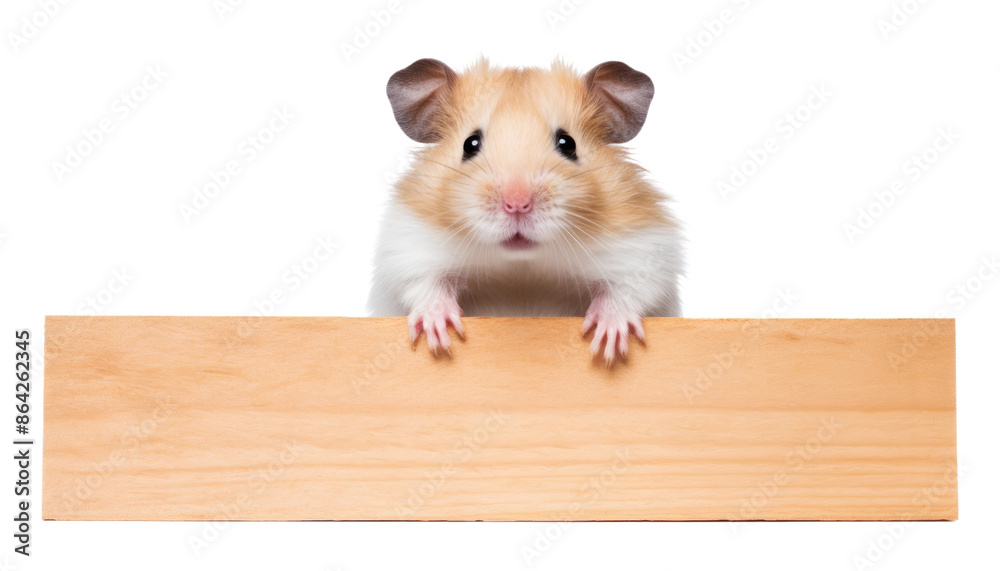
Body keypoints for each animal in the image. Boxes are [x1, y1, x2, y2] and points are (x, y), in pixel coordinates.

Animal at [368, 58, 683, 365]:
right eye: (470, 144)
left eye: (568, 143)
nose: (517, 204)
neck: (521, 266)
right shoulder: (409, 245)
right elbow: (424, 283)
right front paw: (439, 336)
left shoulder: (644, 251)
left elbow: (625, 290)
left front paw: (608, 343)